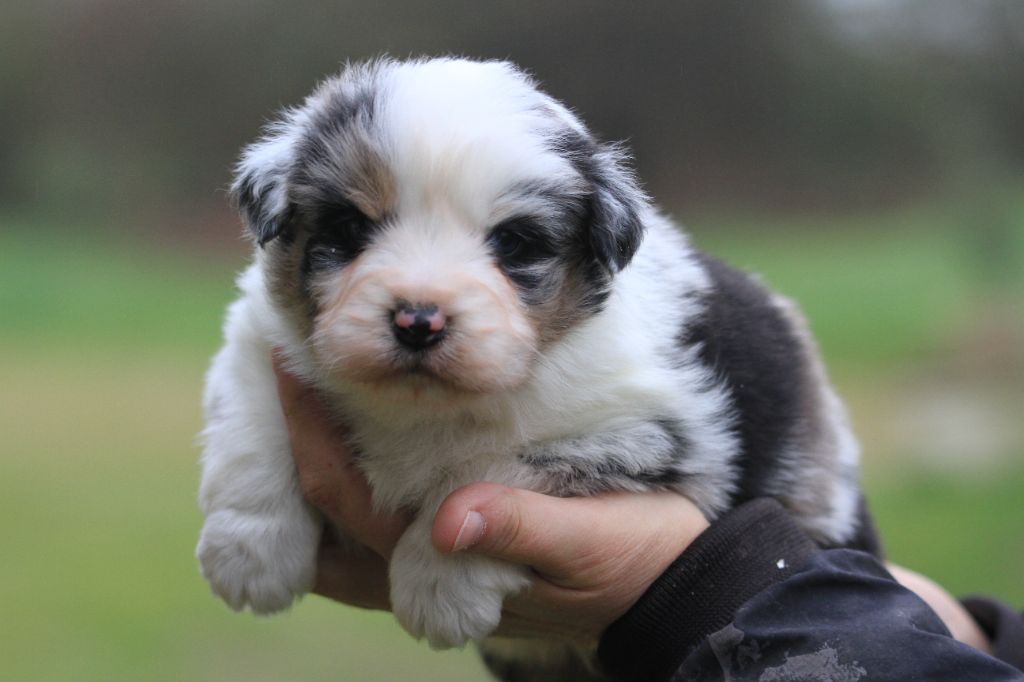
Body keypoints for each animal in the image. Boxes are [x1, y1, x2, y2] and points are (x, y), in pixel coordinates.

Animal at [199, 57, 880, 675]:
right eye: (347, 226)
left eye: (514, 243)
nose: (418, 320)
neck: (424, 405)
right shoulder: (259, 340)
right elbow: (254, 435)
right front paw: (249, 552)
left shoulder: (651, 428)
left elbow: (492, 471)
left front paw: (439, 584)